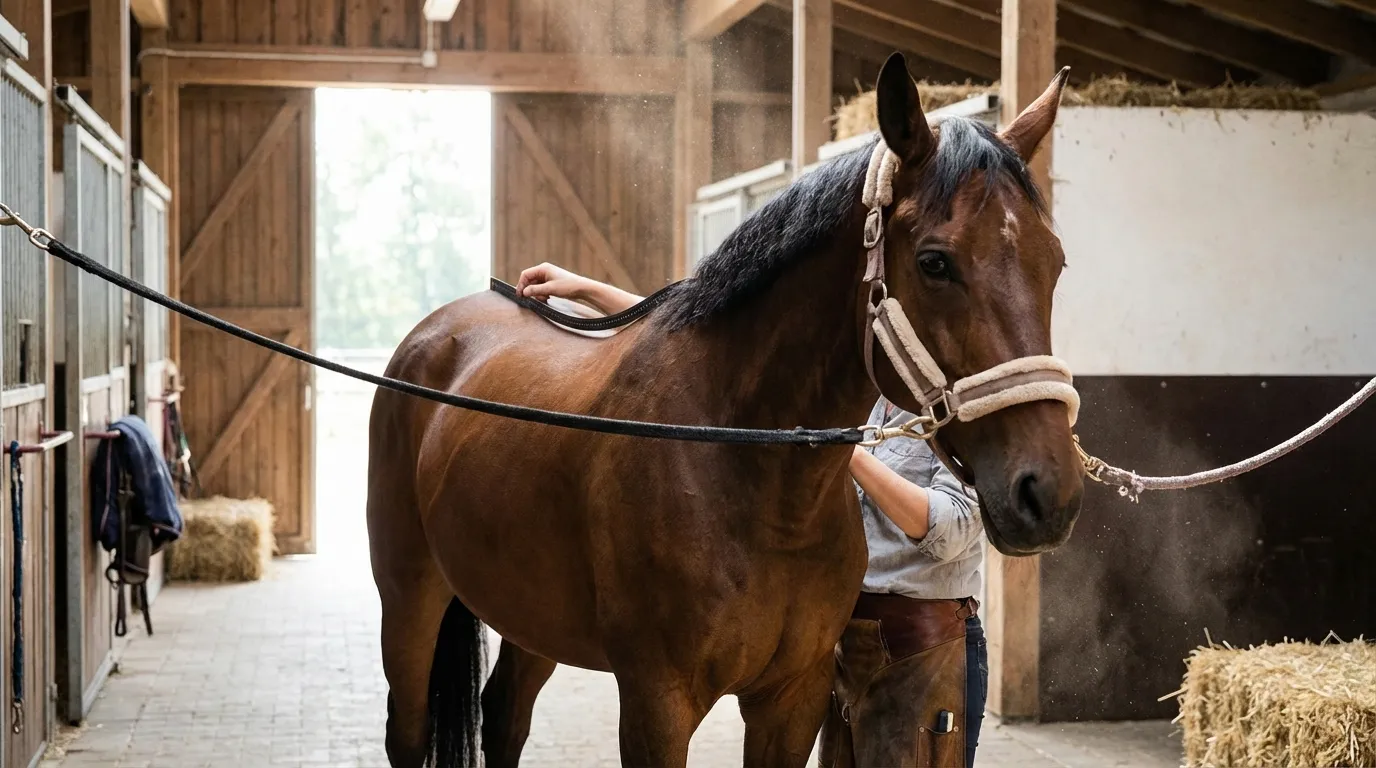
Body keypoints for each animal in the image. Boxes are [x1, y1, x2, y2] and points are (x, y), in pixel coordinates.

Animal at [367, 53, 1083, 768]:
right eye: (936, 262)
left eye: (1055, 262)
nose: (1048, 492)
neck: (751, 477)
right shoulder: (657, 702)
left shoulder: (792, 700)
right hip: (409, 597)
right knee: (409, 729)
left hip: (530, 613)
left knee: (504, 716)